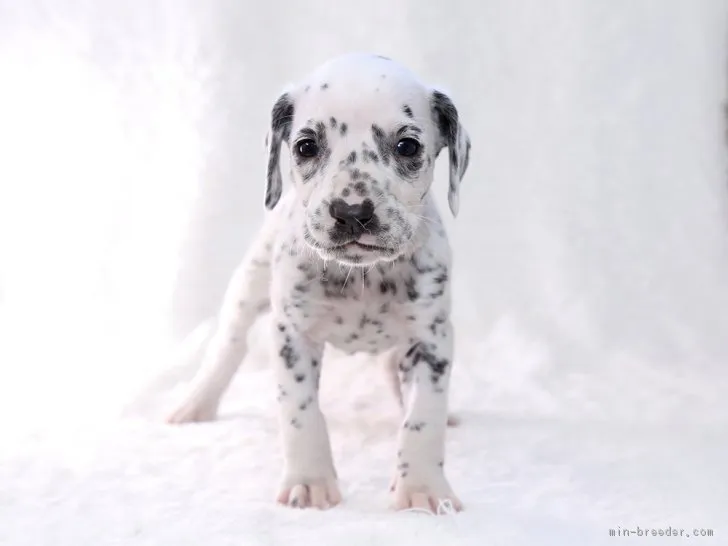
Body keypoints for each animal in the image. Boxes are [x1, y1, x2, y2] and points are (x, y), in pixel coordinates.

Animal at [167, 53, 470, 512]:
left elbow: (423, 417)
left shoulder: (432, 340)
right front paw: (309, 481)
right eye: (305, 146)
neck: (364, 275)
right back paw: (195, 402)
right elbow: (301, 411)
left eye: (408, 146)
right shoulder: (292, 335)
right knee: (228, 346)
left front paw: (422, 487)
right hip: (247, 286)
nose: (352, 212)